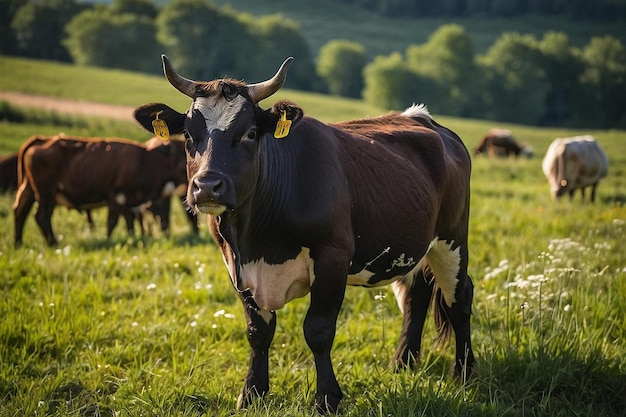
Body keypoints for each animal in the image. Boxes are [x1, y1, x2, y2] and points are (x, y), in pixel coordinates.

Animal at [13, 133, 186, 245]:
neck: (147, 161)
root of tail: (41, 139)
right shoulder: (116, 196)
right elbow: (112, 222)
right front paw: (108, 240)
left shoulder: (129, 201)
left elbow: (129, 222)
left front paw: (132, 237)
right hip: (46, 192)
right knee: (41, 216)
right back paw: (53, 243)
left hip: (29, 188)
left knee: (20, 210)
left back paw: (18, 242)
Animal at [133, 55, 472, 412]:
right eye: (187, 134)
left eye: (250, 133)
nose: (207, 186)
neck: (256, 239)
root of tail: (422, 119)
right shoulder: (235, 263)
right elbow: (257, 331)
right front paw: (252, 392)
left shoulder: (332, 257)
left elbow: (318, 330)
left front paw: (327, 398)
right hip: (415, 246)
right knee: (416, 295)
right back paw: (402, 364)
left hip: (452, 238)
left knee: (459, 297)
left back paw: (463, 373)